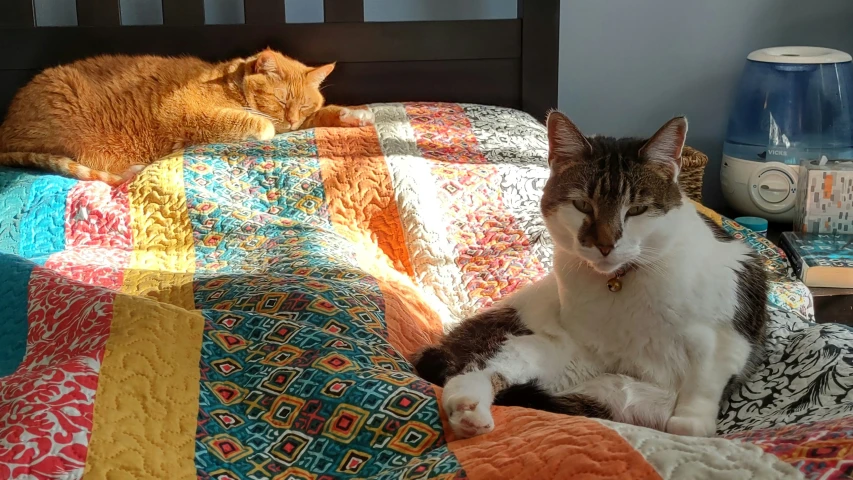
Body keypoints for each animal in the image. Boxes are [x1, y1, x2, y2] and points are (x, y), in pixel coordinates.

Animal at [0, 49, 372, 186]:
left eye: (303, 106)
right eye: (281, 101)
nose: (293, 120)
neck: (230, 84)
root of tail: (5, 128)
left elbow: (327, 114)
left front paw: (353, 114)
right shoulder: (184, 112)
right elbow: (260, 124)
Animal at [416, 112, 768, 438]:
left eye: (637, 210)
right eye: (583, 205)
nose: (605, 244)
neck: (622, 282)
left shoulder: (728, 323)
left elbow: (704, 380)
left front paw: (691, 422)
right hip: (533, 346)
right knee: (480, 370)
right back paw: (467, 411)